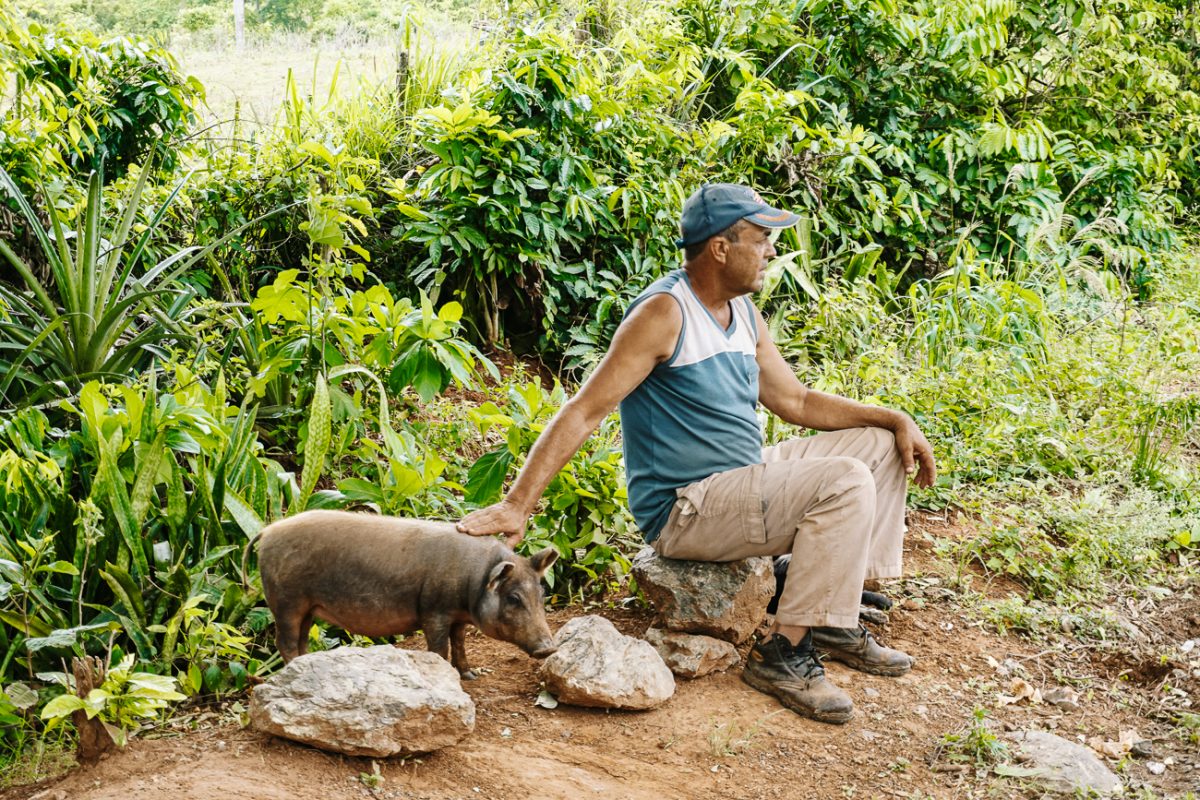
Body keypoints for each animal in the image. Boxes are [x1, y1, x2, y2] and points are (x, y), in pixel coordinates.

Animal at [250, 510, 559, 681]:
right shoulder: (434, 611)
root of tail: (267, 531)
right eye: (514, 598)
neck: (474, 578)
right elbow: (440, 647)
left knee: (300, 639)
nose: (549, 648)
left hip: (306, 607)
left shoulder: (458, 617)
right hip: (285, 601)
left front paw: (470, 676)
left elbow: (459, 643)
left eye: (541, 594)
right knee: (285, 641)